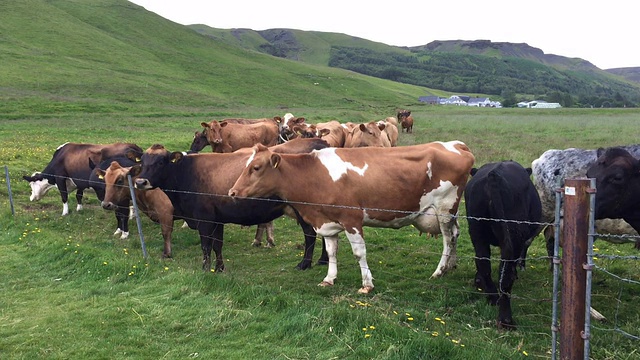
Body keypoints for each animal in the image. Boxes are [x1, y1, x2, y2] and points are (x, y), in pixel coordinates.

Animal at [131, 136, 330, 272]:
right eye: (142, 161)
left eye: (161, 162)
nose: (140, 182)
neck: (187, 172)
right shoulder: (217, 218)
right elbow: (217, 245)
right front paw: (219, 268)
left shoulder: (204, 219)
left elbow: (206, 245)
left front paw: (205, 269)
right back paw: (323, 260)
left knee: (310, 234)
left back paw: (305, 263)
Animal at [230, 140, 476, 292]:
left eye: (256, 167)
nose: (232, 191)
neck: (314, 175)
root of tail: (455, 144)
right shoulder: (327, 221)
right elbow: (331, 252)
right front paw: (329, 278)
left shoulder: (352, 220)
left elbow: (359, 253)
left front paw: (367, 284)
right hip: (450, 212)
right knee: (456, 234)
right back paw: (451, 266)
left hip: (444, 208)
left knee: (448, 240)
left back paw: (439, 271)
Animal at [462, 162, 544, 330]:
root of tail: (493, 175)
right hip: (514, 234)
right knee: (505, 273)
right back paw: (506, 320)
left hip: (476, 231)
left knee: (483, 262)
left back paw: (492, 297)